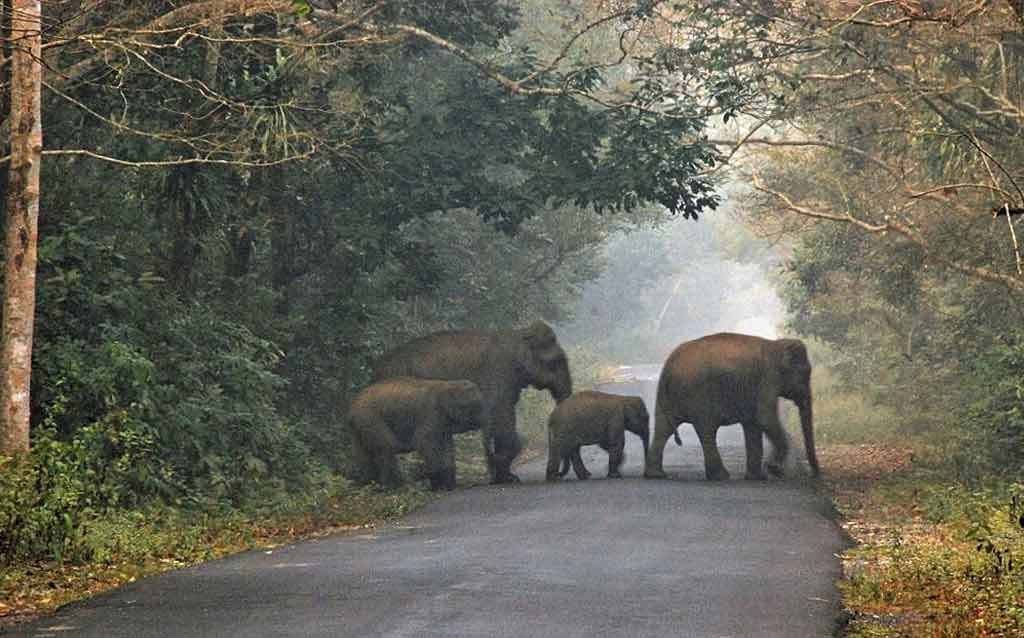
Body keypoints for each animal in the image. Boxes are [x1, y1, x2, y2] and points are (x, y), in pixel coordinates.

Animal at [348, 376, 483, 491]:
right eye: (475, 406)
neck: (446, 385)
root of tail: (352, 407)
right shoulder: (430, 414)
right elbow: (426, 444)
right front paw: (439, 487)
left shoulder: (443, 424)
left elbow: (447, 447)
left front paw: (450, 486)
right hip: (370, 419)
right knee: (387, 447)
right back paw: (396, 488)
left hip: (359, 427)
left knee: (364, 455)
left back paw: (370, 486)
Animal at [372, 323, 573, 483]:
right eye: (557, 361)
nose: (555, 475)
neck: (519, 334)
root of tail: (376, 370)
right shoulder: (499, 373)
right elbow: (502, 417)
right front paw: (507, 478)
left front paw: (505, 476)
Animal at [643, 333, 819, 479]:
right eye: (805, 373)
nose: (815, 474)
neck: (777, 345)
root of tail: (669, 366)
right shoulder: (768, 378)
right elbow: (765, 419)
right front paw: (773, 469)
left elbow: (753, 425)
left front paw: (758, 477)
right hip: (698, 394)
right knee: (706, 429)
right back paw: (721, 476)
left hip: (666, 397)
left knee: (663, 428)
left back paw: (656, 475)